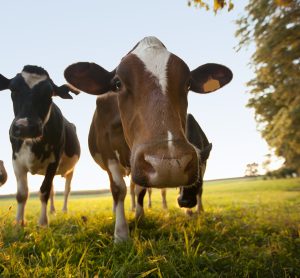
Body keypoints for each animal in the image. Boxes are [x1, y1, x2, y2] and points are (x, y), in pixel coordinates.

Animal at [0, 65, 80, 226]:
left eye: (50, 93)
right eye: (13, 89)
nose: (24, 127)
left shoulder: (54, 161)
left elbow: (44, 191)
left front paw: (43, 223)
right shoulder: (16, 161)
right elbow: (22, 194)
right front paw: (18, 224)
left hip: (70, 170)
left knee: (66, 189)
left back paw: (63, 211)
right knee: (54, 190)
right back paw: (53, 211)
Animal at [64, 36, 231, 241]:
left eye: (188, 84)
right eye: (117, 83)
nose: (168, 165)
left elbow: (140, 190)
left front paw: (139, 217)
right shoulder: (107, 151)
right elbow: (118, 189)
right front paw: (121, 233)